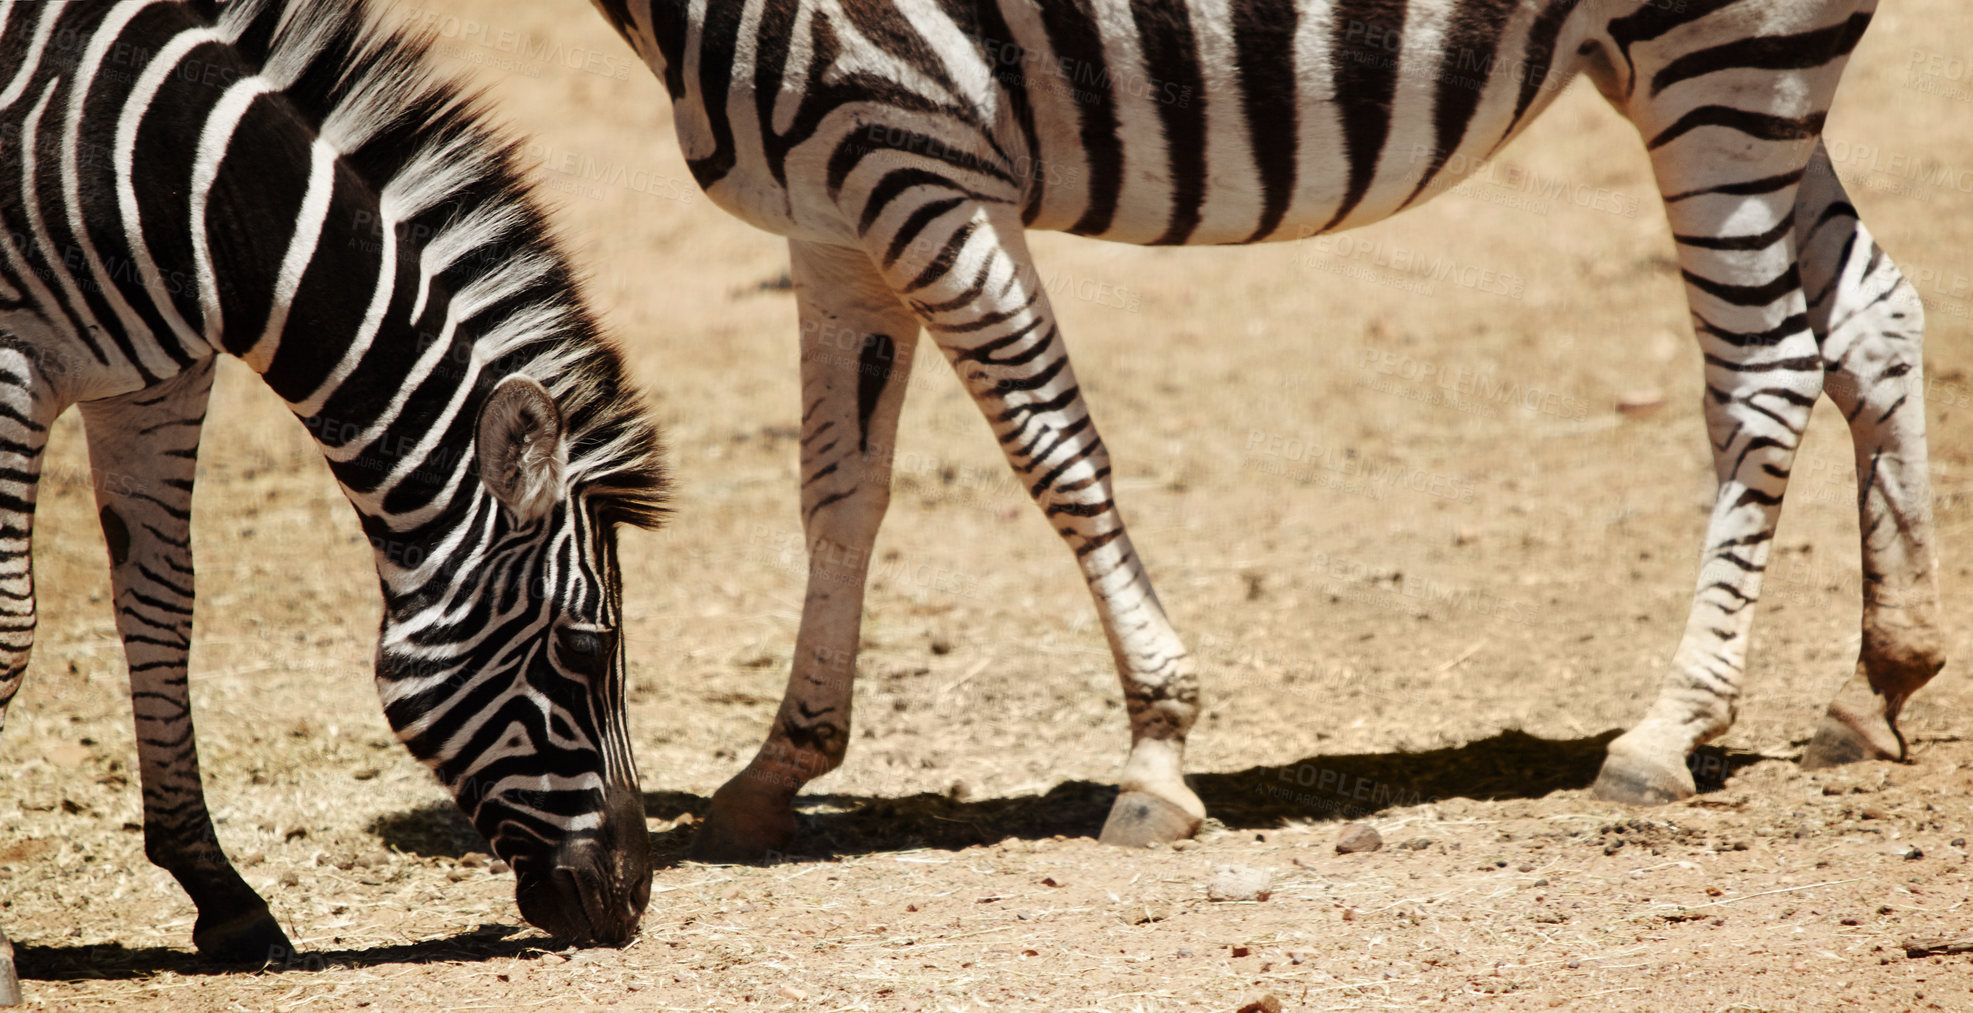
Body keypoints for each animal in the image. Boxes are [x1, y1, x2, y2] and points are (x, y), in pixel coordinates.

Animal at [0, 0, 670, 987]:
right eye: (585, 647)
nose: (632, 898)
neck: (189, 191)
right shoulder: (11, 364)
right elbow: (13, 627)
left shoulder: (156, 382)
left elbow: (161, 608)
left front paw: (224, 896)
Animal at [584, 0, 1941, 860]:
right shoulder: (831, 212)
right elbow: (839, 492)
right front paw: (778, 764)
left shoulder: (912, 153)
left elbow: (1051, 449)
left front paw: (1156, 747)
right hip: (1701, 73)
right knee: (1873, 314)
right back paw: (1876, 679)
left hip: (1723, 59)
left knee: (1764, 368)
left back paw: (1667, 727)